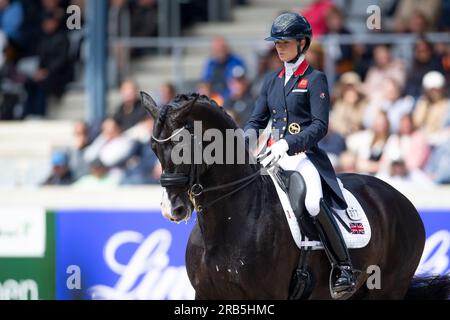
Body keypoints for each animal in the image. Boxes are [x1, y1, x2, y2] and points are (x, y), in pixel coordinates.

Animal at [143, 91, 450, 298]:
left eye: (182, 146)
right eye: (153, 149)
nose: (172, 209)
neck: (229, 221)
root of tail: (401, 200)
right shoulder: (206, 295)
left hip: (388, 289)